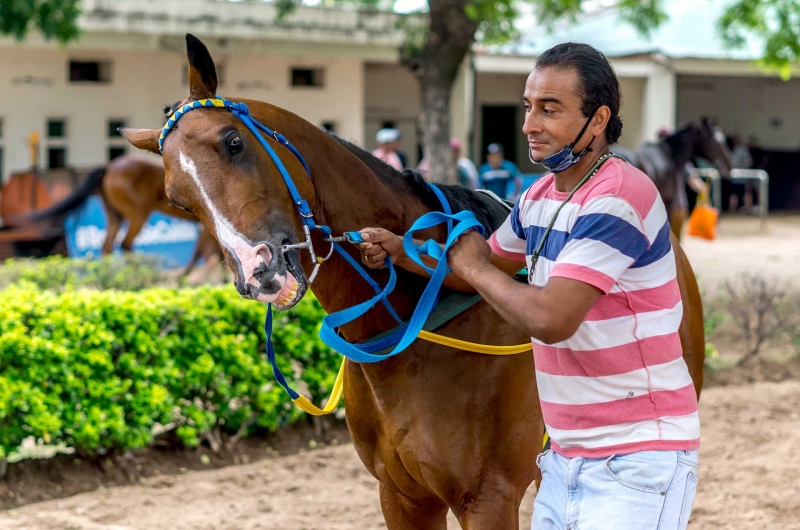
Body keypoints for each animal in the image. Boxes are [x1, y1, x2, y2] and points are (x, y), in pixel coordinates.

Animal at [122, 35, 704, 524]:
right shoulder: (401, 495)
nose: (261, 271)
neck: (410, 333)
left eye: (233, 143)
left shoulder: (487, 498)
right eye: (178, 199)